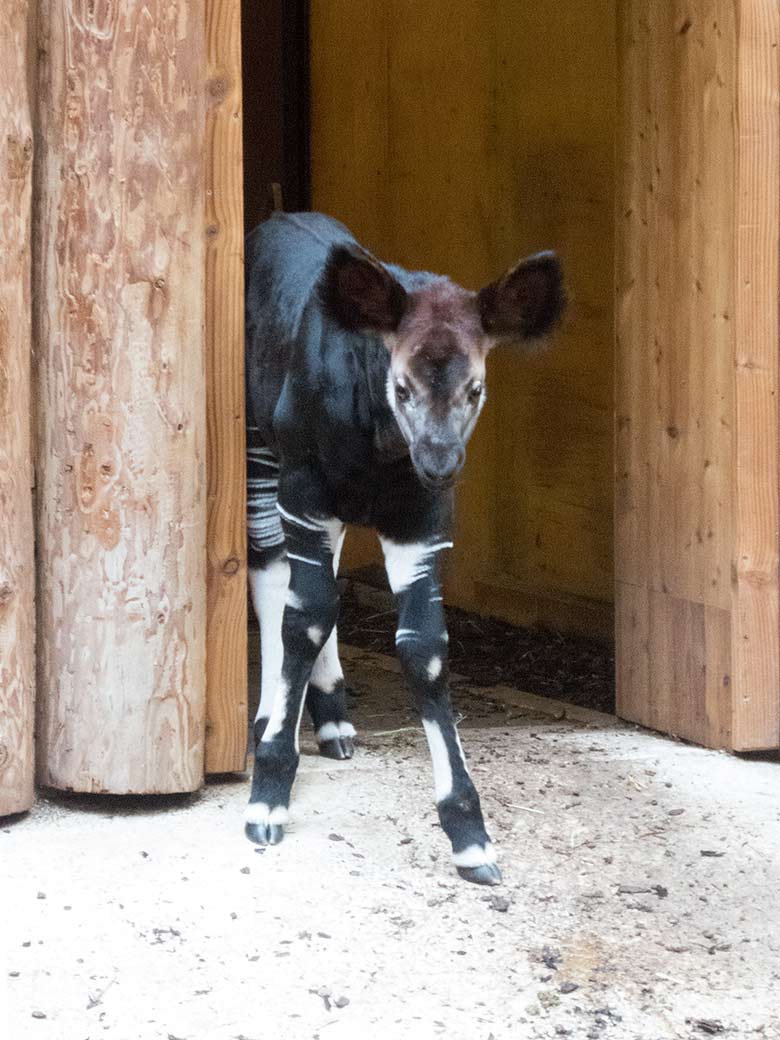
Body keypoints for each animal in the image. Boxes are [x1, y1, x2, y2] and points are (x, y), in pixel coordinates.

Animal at [244, 213, 561, 886]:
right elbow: (301, 622)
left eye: (476, 389)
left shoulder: (418, 524)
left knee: (323, 580)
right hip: (260, 449)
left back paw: (333, 719)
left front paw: (470, 836)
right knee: (272, 568)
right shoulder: (304, 489)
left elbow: (424, 650)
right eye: (402, 387)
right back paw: (268, 720)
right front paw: (267, 795)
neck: (381, 441)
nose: (440, 465)